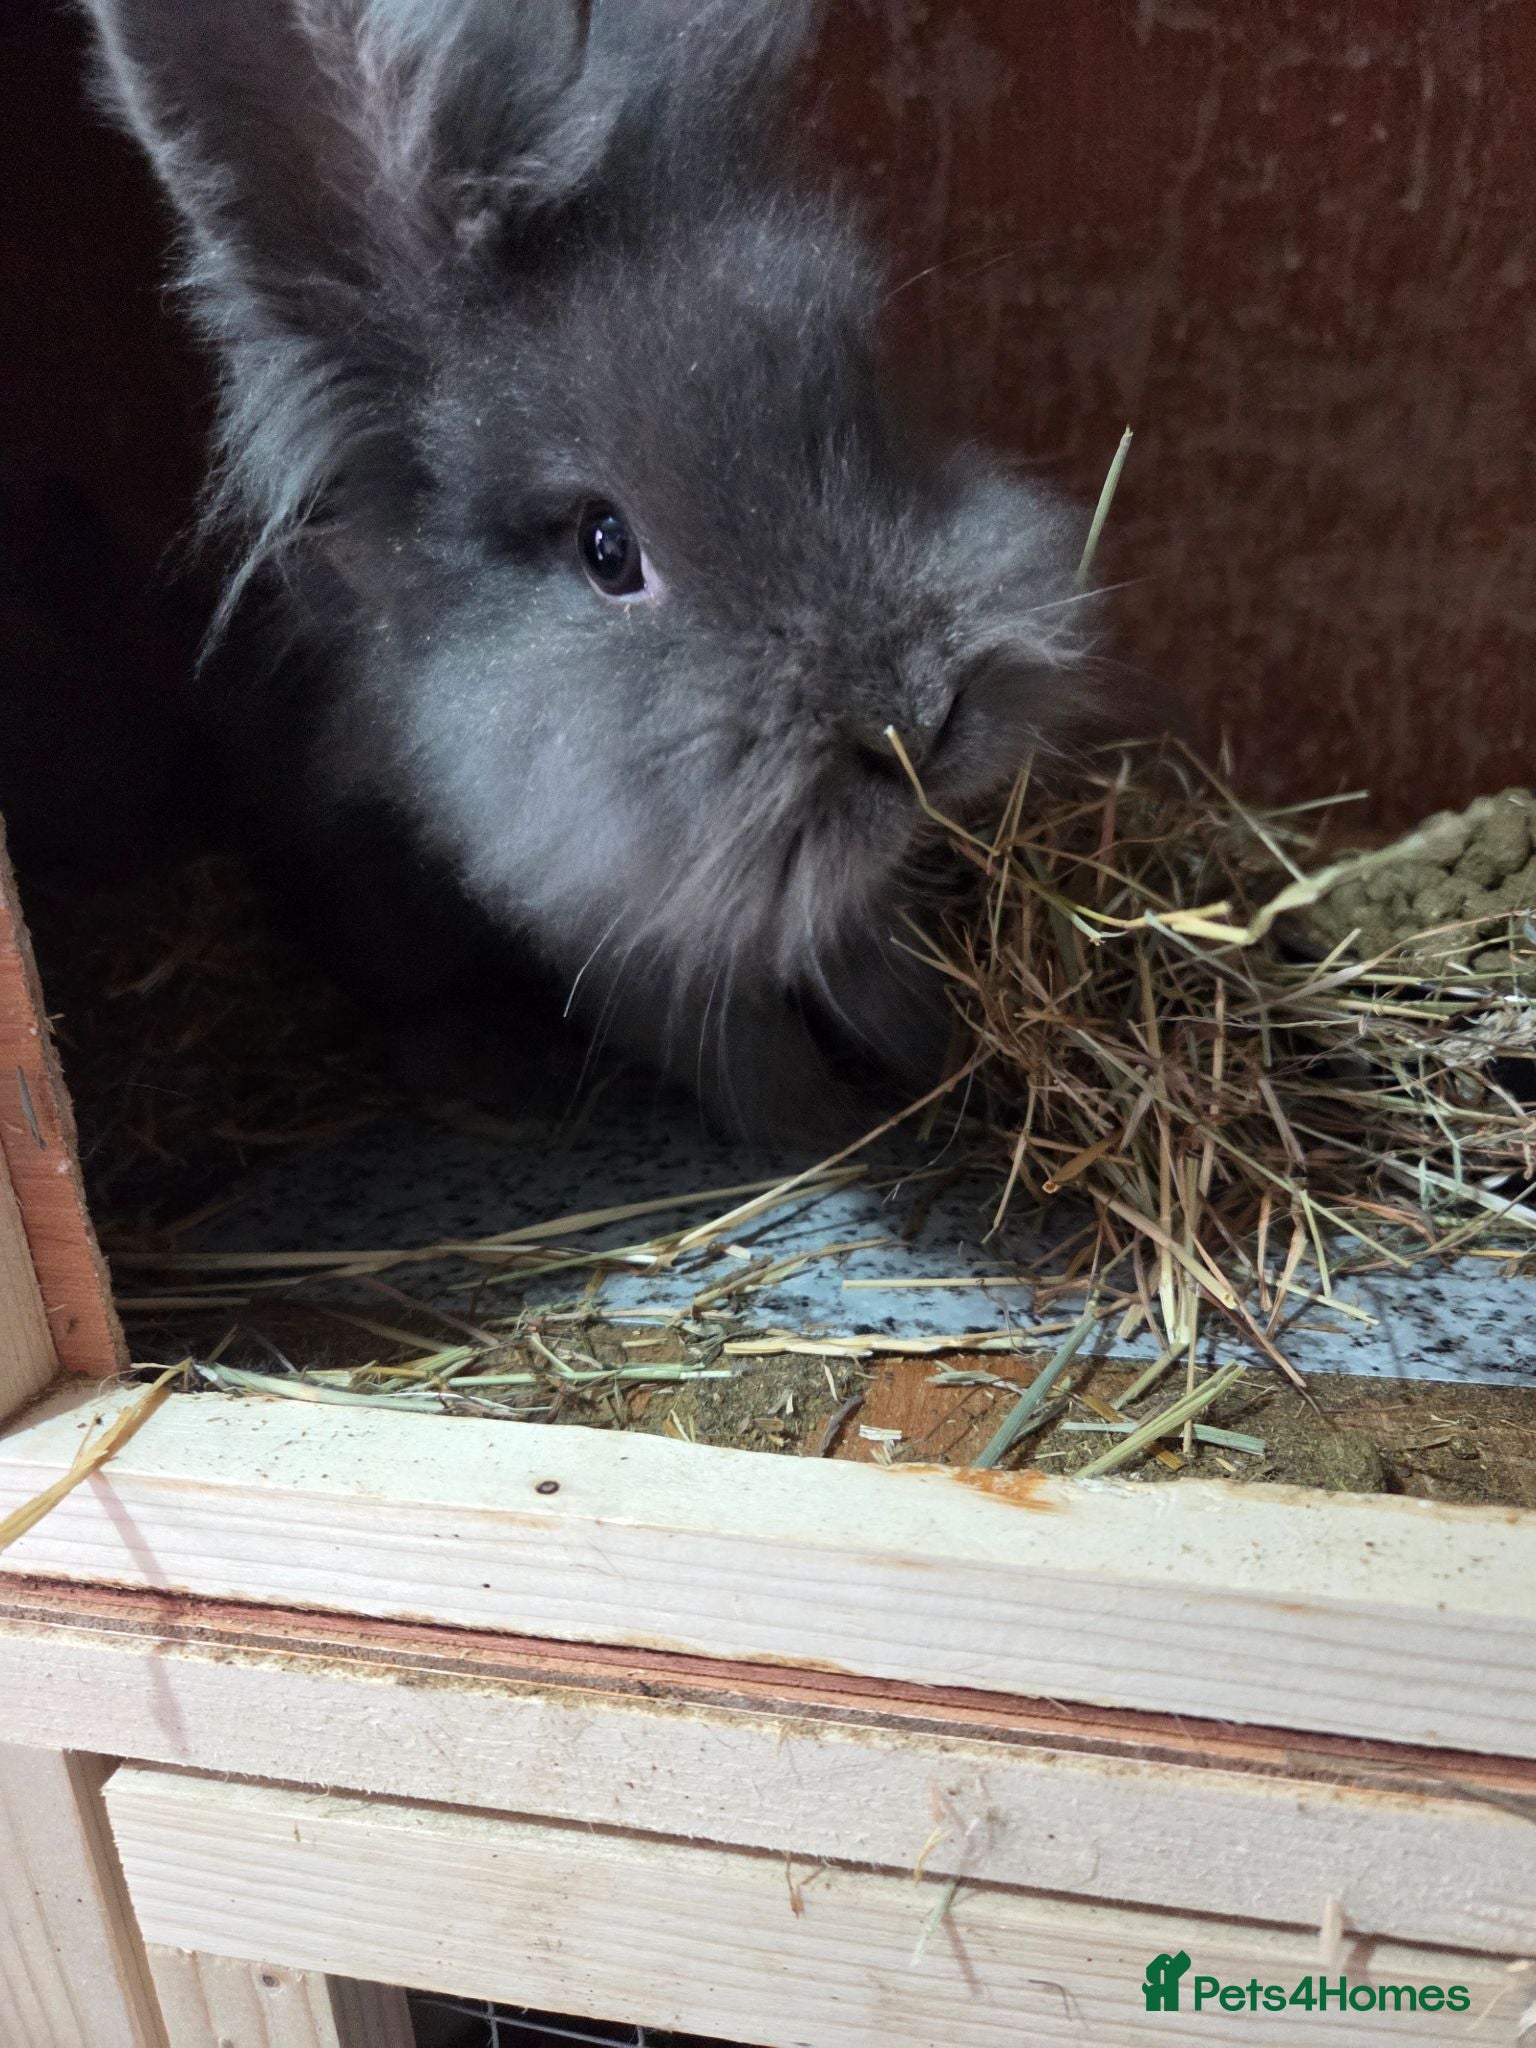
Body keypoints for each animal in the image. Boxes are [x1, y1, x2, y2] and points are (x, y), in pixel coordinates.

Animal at [80, 0, 1104, 1140]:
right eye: (607, 549)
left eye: (862, 395)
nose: (916, 725)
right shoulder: (610, 935)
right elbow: (744, 1052)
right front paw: (826, 1135)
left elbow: (876, 973)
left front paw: (948, 1061)